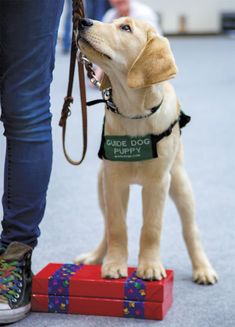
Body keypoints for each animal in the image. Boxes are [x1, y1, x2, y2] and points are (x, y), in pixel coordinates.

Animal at [75, 17, 218, 284]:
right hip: (101, 185)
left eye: (126, 28)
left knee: (191, 230)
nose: (82, 21)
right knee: (107, 227)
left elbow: (151, 228)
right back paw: (96, 256)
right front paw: (114, 264)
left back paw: (203, 269)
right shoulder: (113, 180)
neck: (134, 113)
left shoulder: (158, 182)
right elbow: (117, 227)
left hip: (181, 184)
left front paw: (150, 266)